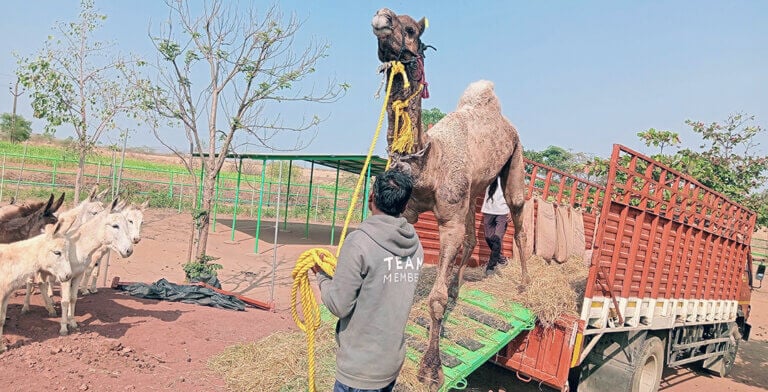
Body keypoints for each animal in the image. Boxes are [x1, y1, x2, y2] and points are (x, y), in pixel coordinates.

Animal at [370, 9, 528, 388]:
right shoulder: (411, 213)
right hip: (474, 191)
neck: (430, 160)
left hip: (516, 159)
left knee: (518, 214)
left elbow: (436, 299)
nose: (382, 17)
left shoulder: (449, 219)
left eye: (410, 29)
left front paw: (431, 369)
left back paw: (525, 285)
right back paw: (459, 287)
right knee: (472, 236)